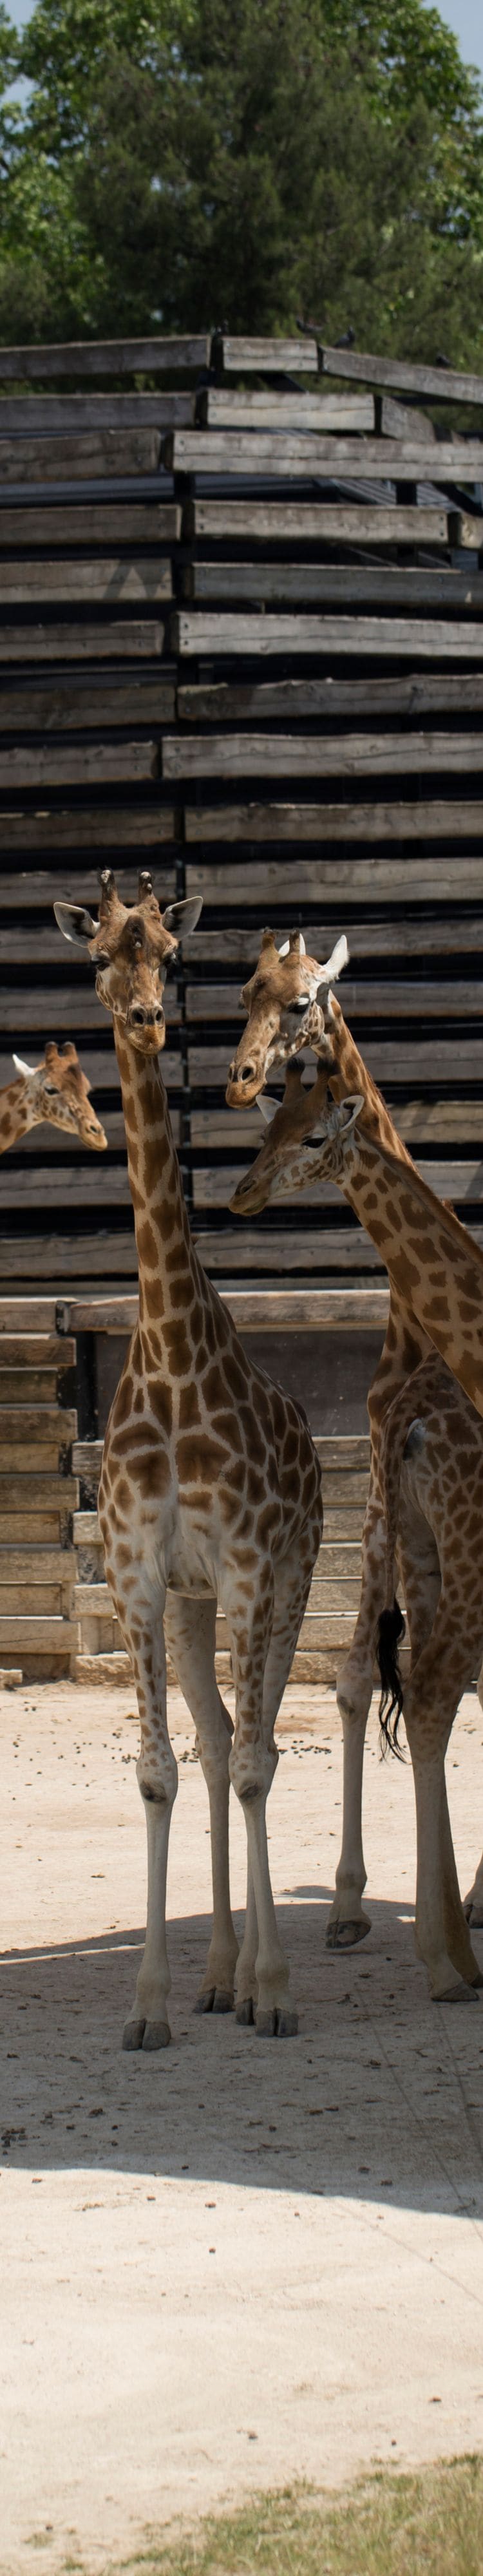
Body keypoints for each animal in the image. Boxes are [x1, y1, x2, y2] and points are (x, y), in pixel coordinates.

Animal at [226, 927, 483, 1950]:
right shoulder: (379, 1489)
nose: (242, 1076)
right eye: (247, 989)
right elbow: (352, 1679)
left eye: (306, 1003)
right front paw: (349, 1899)